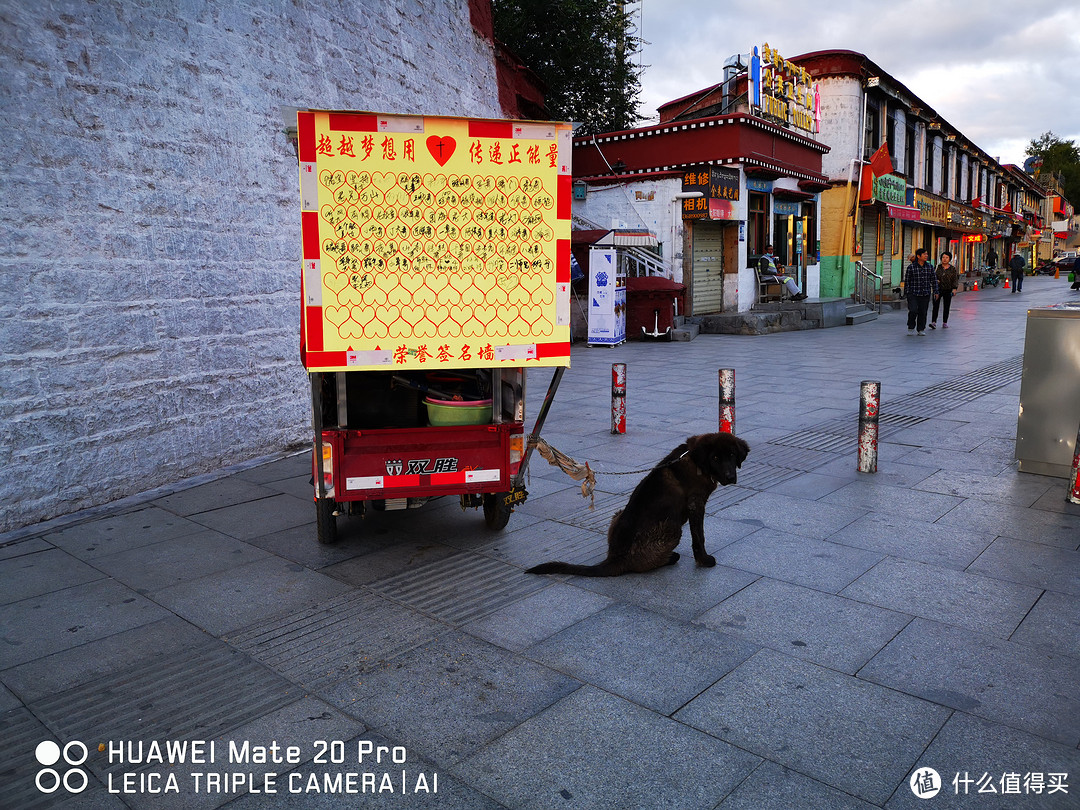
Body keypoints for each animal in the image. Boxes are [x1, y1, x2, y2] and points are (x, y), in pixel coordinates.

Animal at [524, 432, 747, 578]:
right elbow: (699, 536)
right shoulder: (696, 504)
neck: (696, 462)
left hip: (618, 513)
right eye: (715, 457)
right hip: (672, 529)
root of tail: (614, 558)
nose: (731, 477)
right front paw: (704, 560)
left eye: (732, 455)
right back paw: (670, 558)